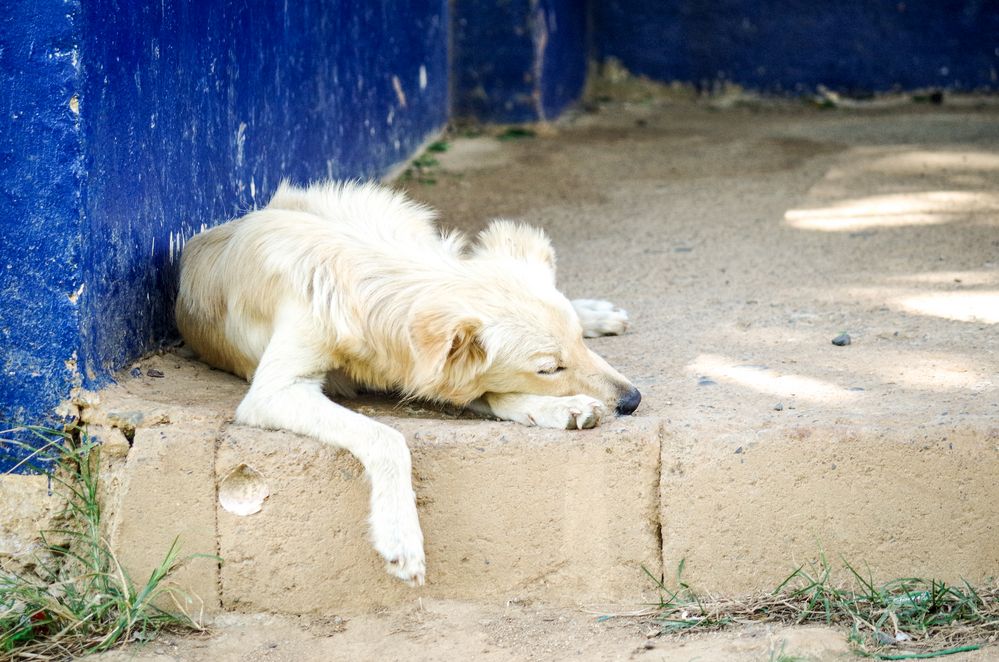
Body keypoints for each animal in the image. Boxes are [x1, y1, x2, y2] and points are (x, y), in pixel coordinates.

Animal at [178, 180, 640, 588]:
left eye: (579, 343)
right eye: (549, 369)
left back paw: (596, 312)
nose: (633, 400)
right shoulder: (276, 390)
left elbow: (486, 392)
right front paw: (401, 536)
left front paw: (561, 406)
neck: (373, 276)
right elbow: (387, 438)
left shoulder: (422, 371)